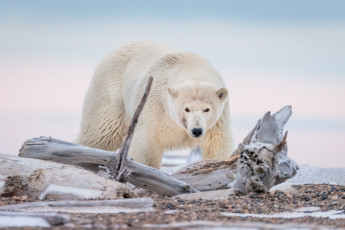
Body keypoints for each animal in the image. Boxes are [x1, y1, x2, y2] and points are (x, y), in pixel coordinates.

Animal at [77, 41, 234, 169]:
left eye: (207, 109)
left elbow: (217, 144)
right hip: (111, 93)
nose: (197, 130)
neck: (190, 66)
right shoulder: (154, 105)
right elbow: (147, 145)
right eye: (186, 109)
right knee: (101, 133)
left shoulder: (218, 120)